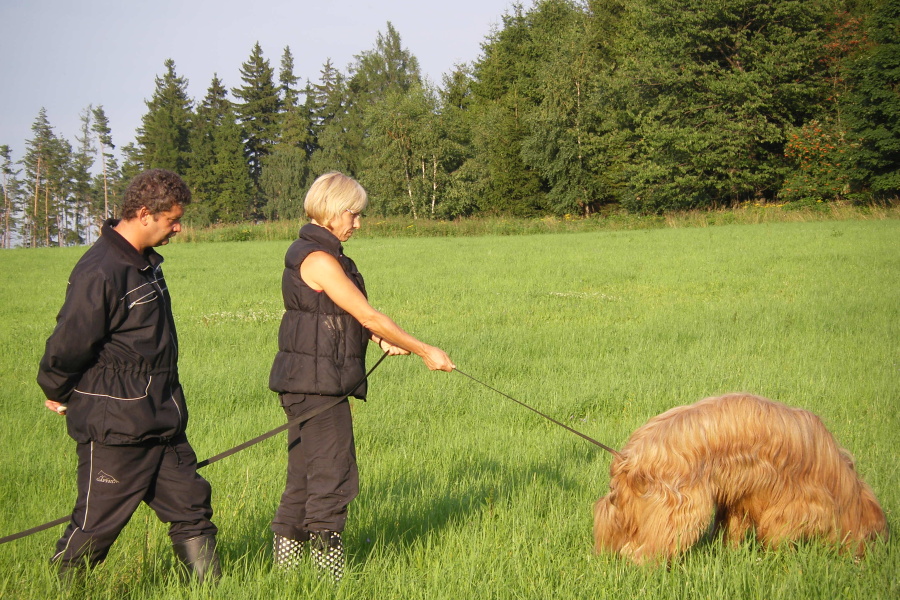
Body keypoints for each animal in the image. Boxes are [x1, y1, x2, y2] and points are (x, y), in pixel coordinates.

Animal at [592, 394, 884, 564]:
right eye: (874, 539)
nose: (864, 562)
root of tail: (629, 456)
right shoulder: (796, 503)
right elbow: (780, 532)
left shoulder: (740, 495)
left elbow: (733, 526)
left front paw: (731, 551)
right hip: (679, 509)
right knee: (641, 552)